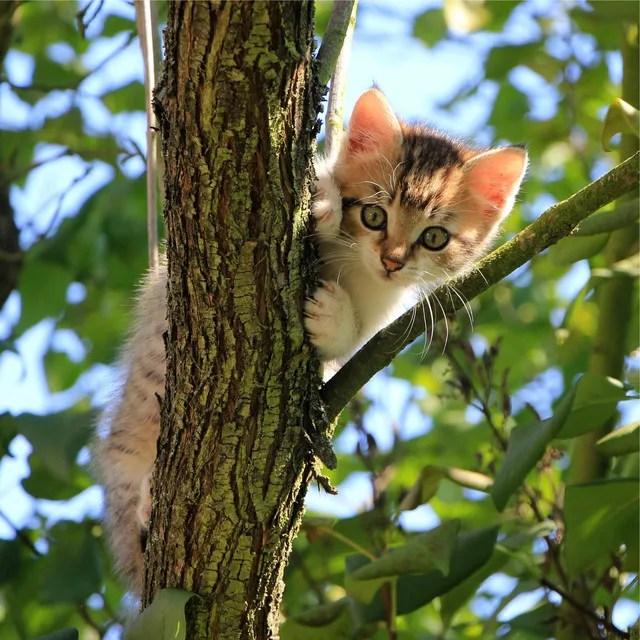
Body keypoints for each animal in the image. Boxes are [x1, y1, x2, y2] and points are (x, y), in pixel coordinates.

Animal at [94, 86, 524, 596]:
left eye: (434, 237)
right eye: (374, 214)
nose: (393, 261)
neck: (356, 268)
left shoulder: (379, 314)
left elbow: (349, 342)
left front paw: (332, 317)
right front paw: (323, 203)